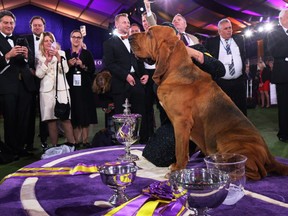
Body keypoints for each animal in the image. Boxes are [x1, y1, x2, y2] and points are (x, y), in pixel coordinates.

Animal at [129, 25, 288, 181]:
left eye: (149, 33)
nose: (129, 37)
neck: (175, 70)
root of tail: (270, 157)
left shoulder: (181, 122)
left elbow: (180, 150)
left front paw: (177, 169)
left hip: (225, 139)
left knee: (256, 172)